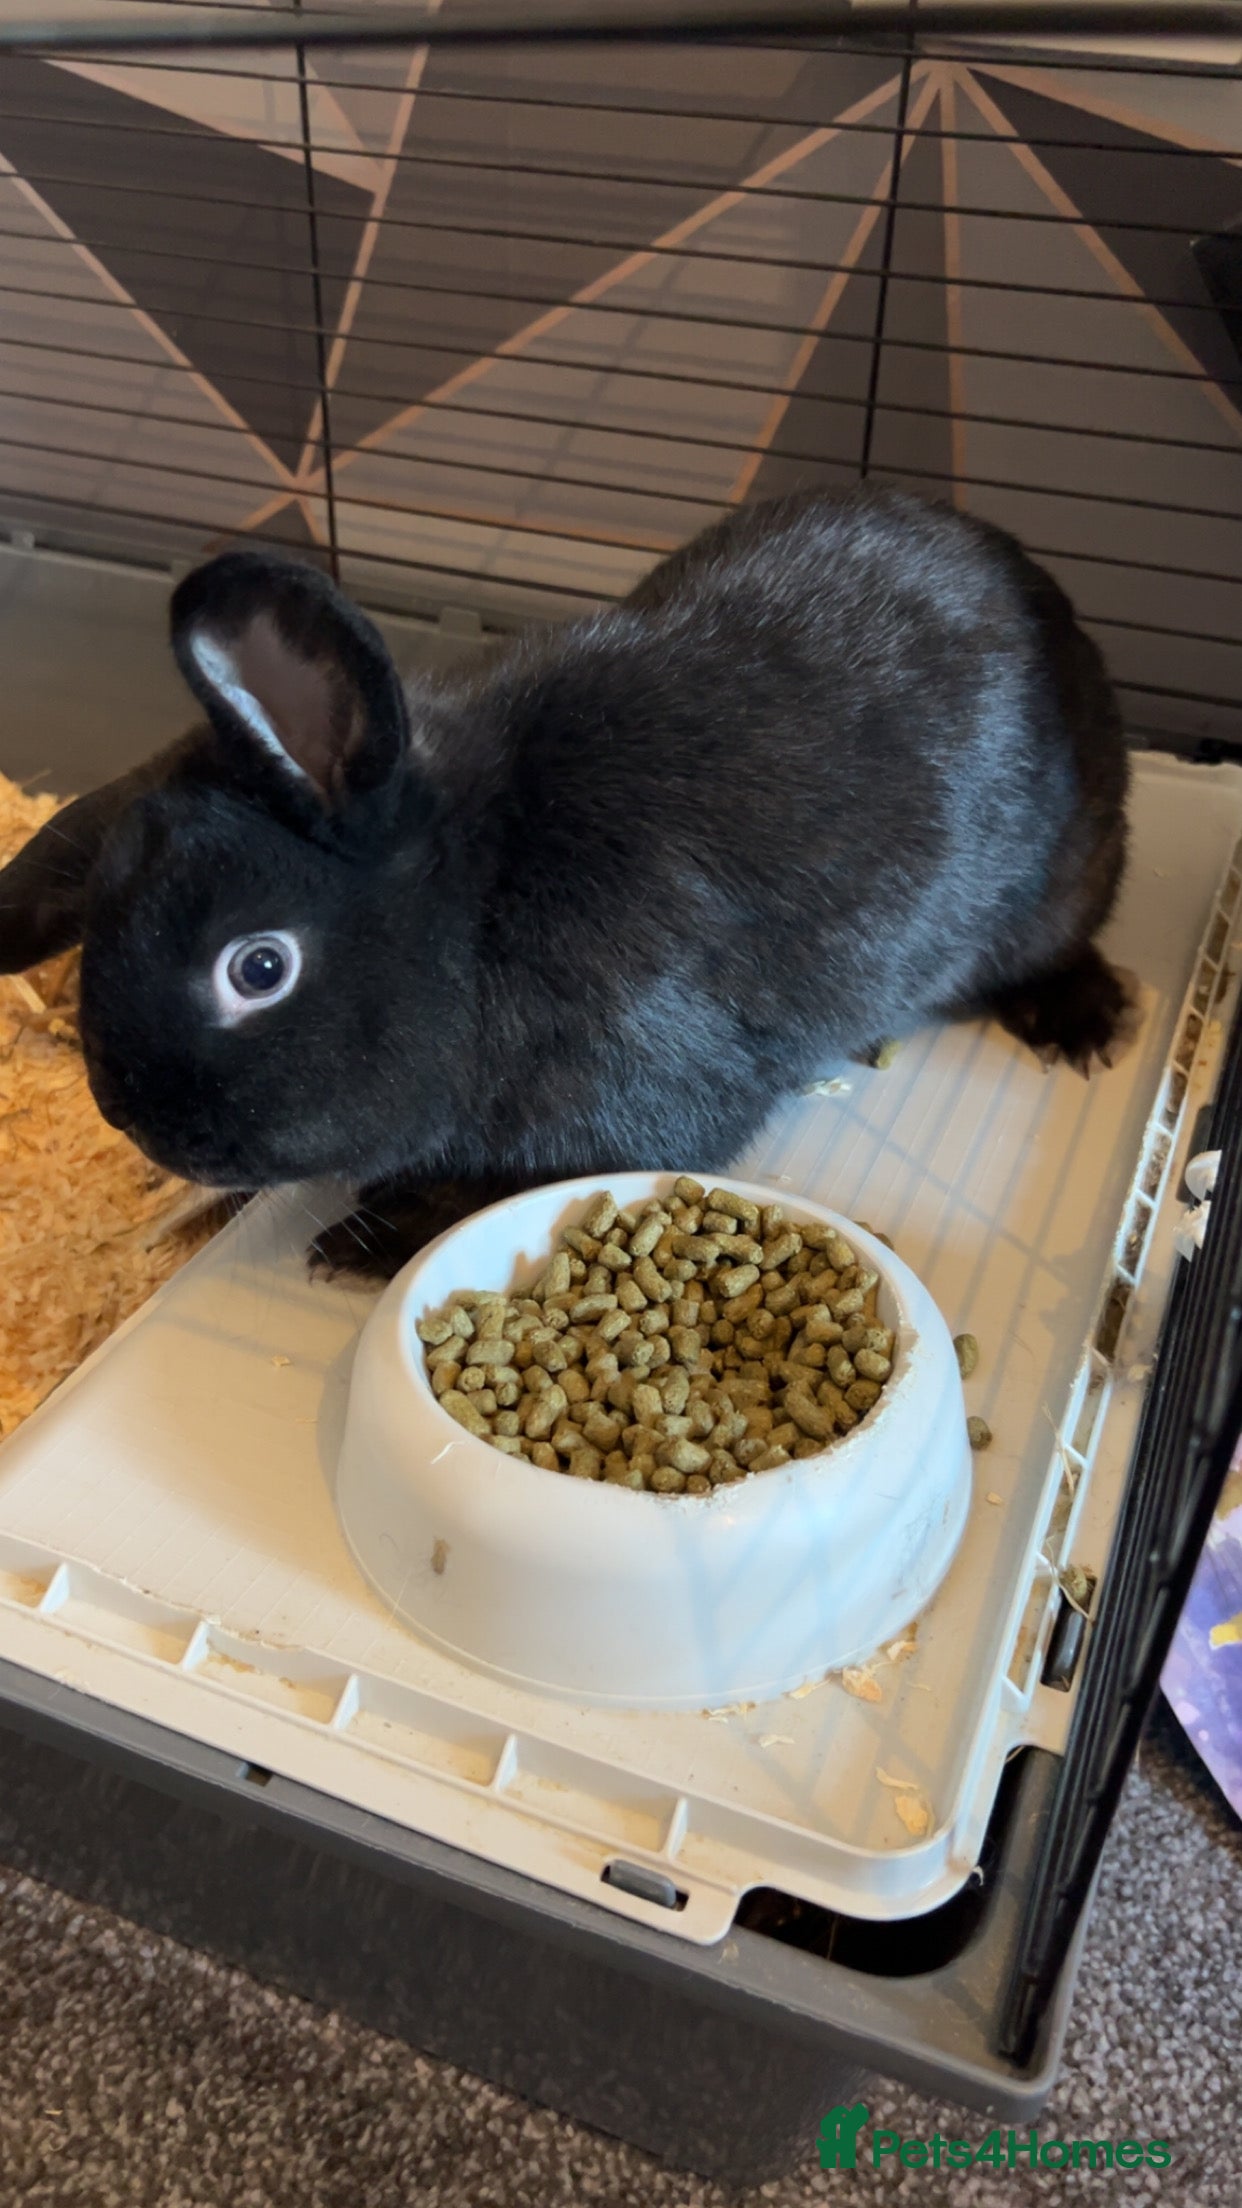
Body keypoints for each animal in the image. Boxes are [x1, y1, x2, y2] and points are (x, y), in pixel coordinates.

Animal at [0, 486, 1133, 1280]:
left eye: (260, 968)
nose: (135, 1122)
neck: (477, 907)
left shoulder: (642, 1098)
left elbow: (516, 1185)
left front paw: (370, 1239)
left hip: (1069, 877)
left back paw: (1079, 1024)